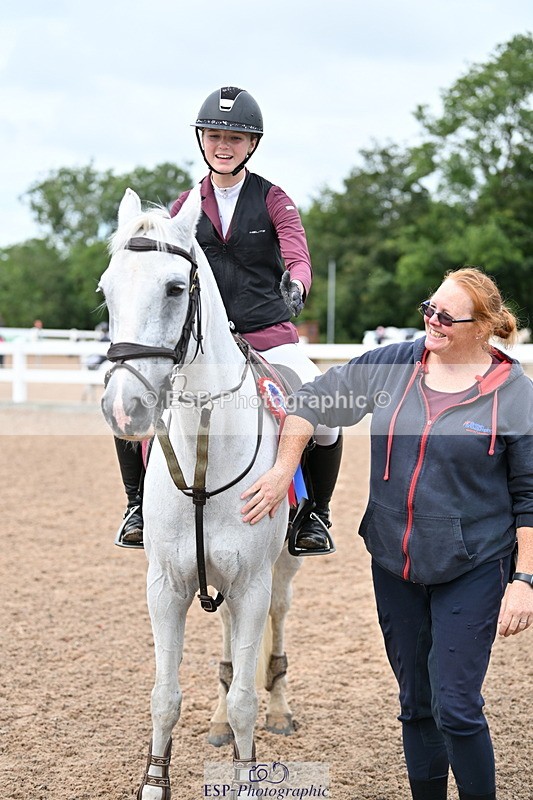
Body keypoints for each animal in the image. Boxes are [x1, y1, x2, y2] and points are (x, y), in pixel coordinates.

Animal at [99, 186, 303, 798]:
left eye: (173, 288)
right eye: (106, 290)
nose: (123, 408)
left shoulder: (253, 583)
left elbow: (244, 702)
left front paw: (246, 777)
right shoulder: (166, 585)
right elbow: (164, 697)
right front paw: (154, 783)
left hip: (278, 573)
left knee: (273, 632)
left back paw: (279, 712)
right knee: (230, 650)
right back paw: (214, 726)